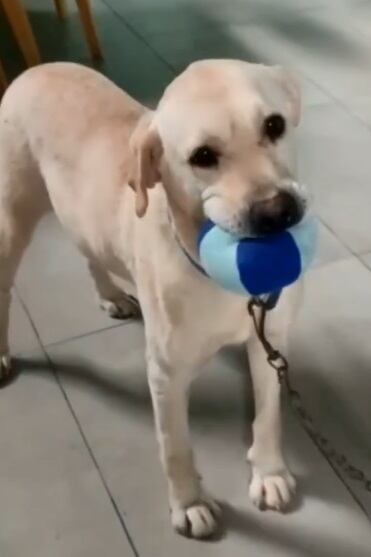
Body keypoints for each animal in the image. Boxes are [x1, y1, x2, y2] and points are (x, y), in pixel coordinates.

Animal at [0, 60, 308, 540]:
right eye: (203, 156)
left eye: (274, 125)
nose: (279, 212)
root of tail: (34, 69)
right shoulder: (166, 373)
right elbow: (174, 445)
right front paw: (190, 504)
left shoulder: (270, 341)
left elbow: (269, 414)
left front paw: (270, 473)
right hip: (12, 219)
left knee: (89, 249)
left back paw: (110, 294)